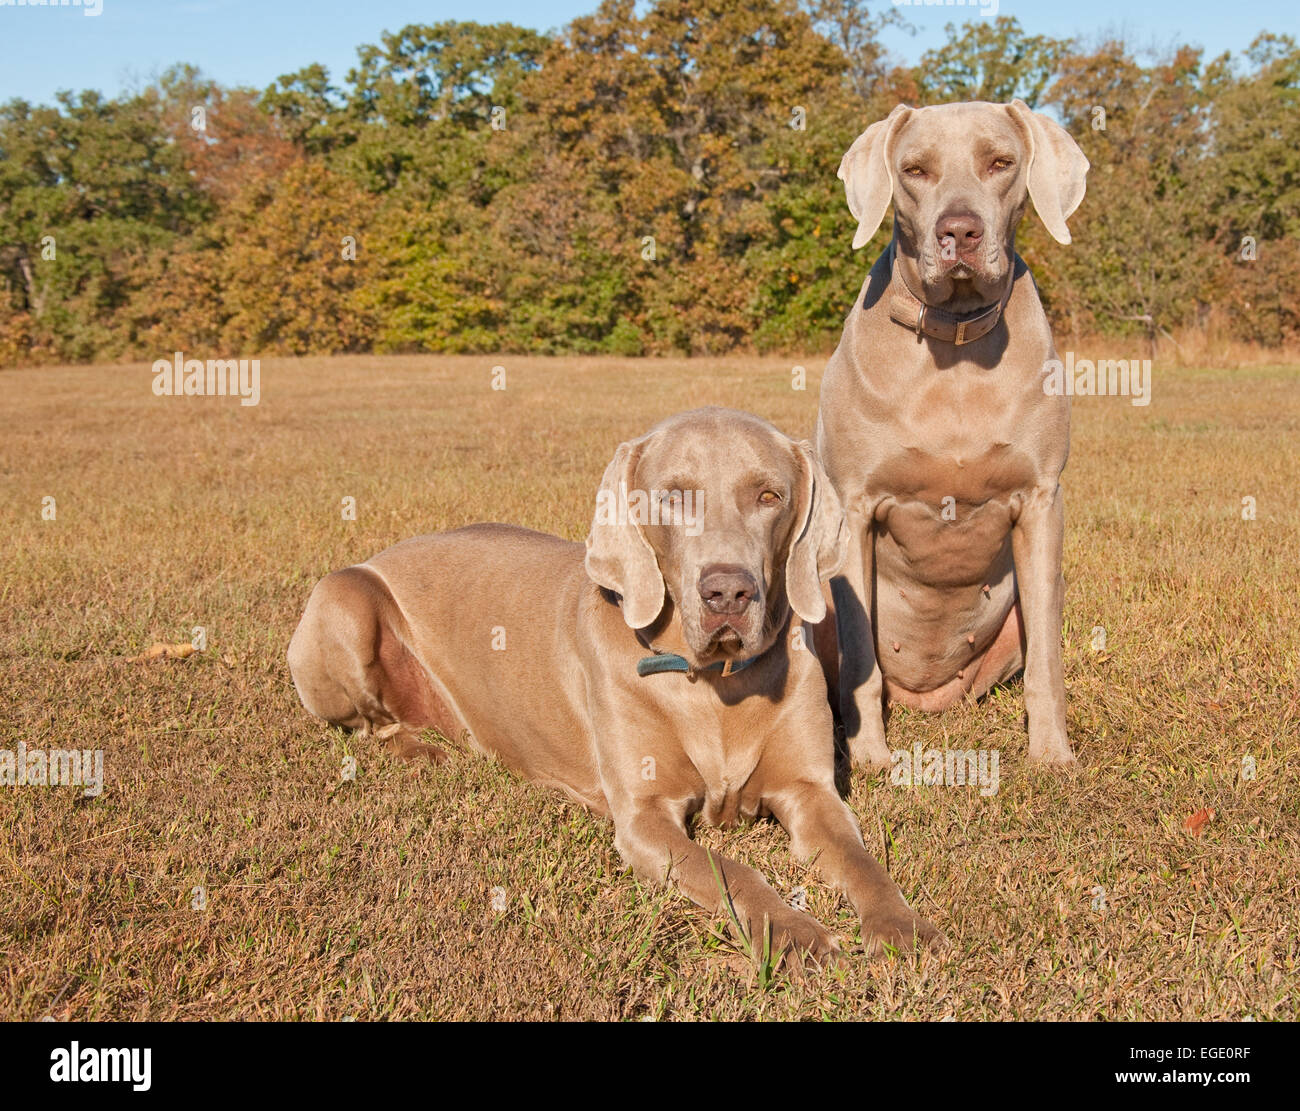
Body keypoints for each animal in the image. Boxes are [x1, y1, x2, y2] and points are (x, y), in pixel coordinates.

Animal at [289, 408, 946, 966]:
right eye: (673, 497)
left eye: (770, 496)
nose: (727, 592)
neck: (711, 685)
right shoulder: (644, 818)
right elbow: (734, 872)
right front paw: (795, 931)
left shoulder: (811, 792)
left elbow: (861, 860)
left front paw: (904, 927)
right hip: (343, 598)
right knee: (371, 725)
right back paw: (425, 751)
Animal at [816, 100, 1092, 769]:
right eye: (914, 169)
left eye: (1001, 162)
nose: (959, 232)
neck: (956, 339)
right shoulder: (854, 509)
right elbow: (860, 661)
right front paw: (871, 760)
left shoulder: (1041, 502)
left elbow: (1049, 661)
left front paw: (1052, 756)